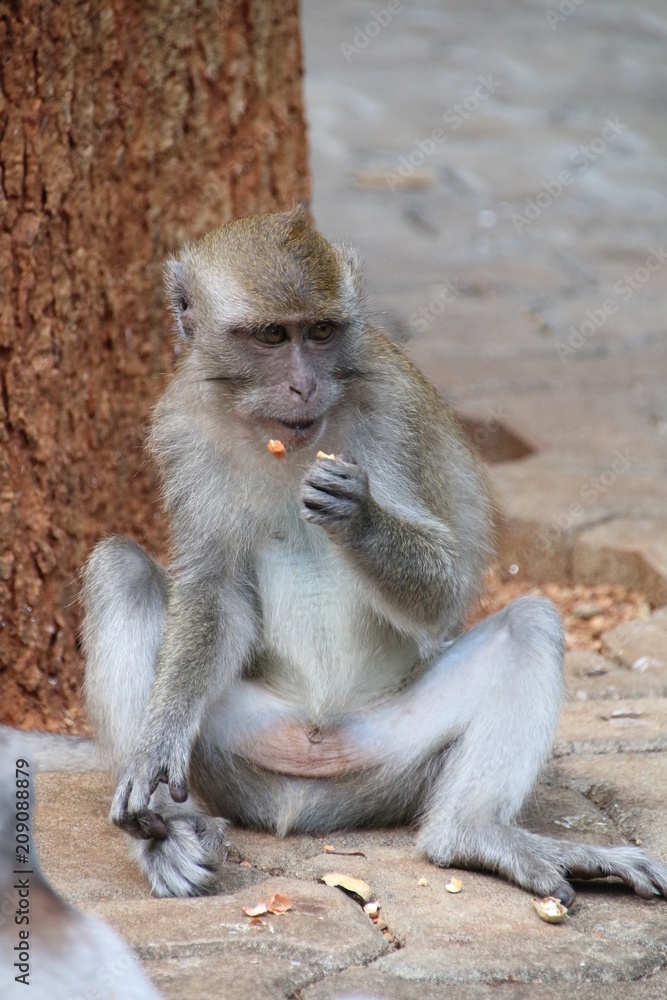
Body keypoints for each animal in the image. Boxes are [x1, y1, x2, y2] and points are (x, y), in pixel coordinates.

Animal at [79, 205, 667, 908]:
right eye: (272, 336)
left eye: (321, 332)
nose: (304, 385)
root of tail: (297, 794)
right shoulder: (181, 426)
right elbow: (215, 595)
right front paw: (156, 744)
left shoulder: (395, 412)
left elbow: (444, 590)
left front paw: (358, 516)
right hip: (228, 761)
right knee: (119, 569)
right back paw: (165, 837)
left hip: (387, 759)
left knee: (530, 623)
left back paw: (472, 833)